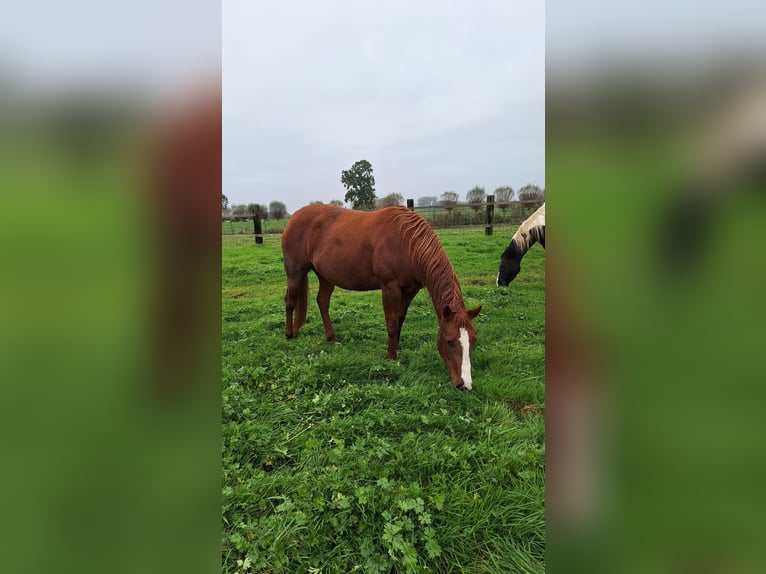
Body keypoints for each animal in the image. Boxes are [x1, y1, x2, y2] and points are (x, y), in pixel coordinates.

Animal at [284, 205, 484, 390]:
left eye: (474, 339)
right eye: (449, 341)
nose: (465, 385)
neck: (408, 243)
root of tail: (294, 217)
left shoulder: (410, 290)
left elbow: (400, 318)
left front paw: (397, 345)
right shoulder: (390, 287)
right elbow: (392, 324)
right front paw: (392, 357)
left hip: (326, 276)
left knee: (322, 302)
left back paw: (332, 338)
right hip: (296, 272)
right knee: (290, 301)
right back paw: (289, 334)